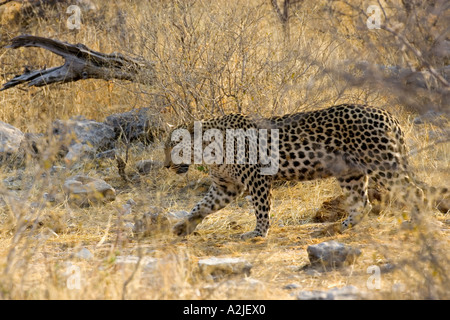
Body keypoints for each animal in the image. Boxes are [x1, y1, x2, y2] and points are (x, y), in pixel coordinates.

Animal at [163, 104, 446, 239]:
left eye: (174, 146)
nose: (166, 166)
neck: (207, 150)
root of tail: (387, 113)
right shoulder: (226, 186)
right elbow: (201, 206)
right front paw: (183, 227)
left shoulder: (257, 178)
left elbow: (261, 208)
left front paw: (258, 233)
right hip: (350, 172)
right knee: (362, 204)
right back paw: (336, 228)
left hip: (382, 164)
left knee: (416, 192)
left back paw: (414, 223)